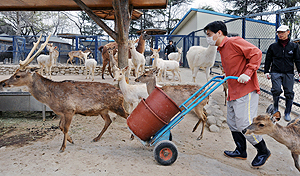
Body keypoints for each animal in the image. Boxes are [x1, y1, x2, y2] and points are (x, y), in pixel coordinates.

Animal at [1, 34, 130, 153]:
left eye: (17, 75)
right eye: (14, 73)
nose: (3, 83)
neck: (52, 98)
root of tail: (120, 91)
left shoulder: (69, 109)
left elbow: (66, 128)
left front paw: (62, 147)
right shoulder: (61, 112)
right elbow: (60, 127)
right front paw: (71, 140)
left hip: (117, 106)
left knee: (127, 115)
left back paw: (131, 136)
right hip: (103, 110)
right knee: (109, 121)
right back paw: (96, 138)